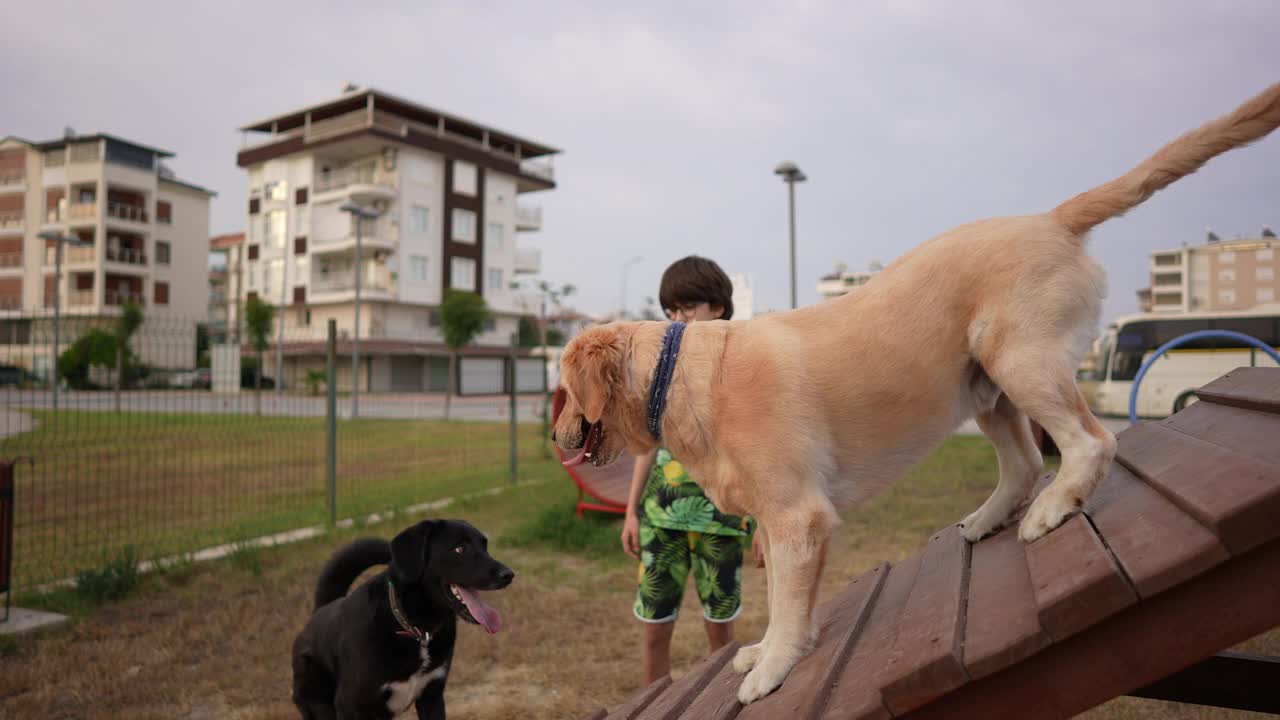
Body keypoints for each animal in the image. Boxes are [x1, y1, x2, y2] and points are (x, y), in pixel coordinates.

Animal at [293, 517, 512, 712]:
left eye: (484, 546)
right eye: (460, 549)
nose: (509, 575)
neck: (415, 628)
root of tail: (319, 611)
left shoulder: (431, 697)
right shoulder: (350, 705)